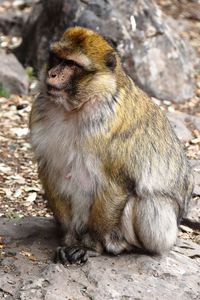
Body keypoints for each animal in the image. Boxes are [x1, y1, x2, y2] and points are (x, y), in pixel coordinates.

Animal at [28, 26, 193, 264]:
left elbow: (117, 184)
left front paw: (90, 246)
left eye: (72, 64)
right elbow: (51, 171)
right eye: (57, 58)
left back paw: (124, 246)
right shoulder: (39, 114)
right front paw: (68, 239)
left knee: (147, 201)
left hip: (163, 233)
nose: (52, 74)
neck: (77, 107)